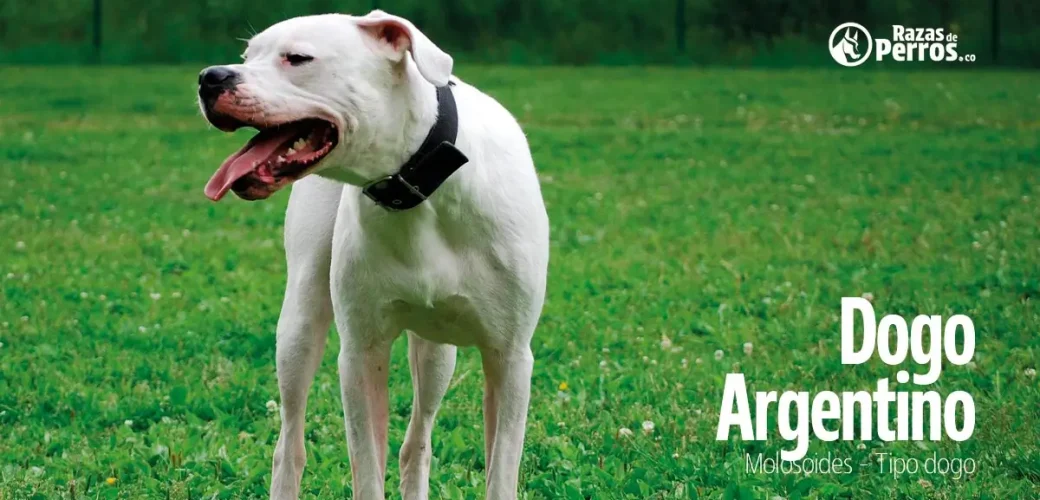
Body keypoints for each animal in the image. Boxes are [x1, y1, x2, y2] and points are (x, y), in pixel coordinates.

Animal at [196, 10, 553, 498]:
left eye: (298, 58)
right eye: (247, 56)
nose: (210, 77)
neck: (418, 186)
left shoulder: (510, 358)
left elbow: (500, 473)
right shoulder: (361, 355)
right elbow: (366, 470)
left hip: (438, 357)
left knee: (417, 442)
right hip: (298, 326)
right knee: (289, 445)